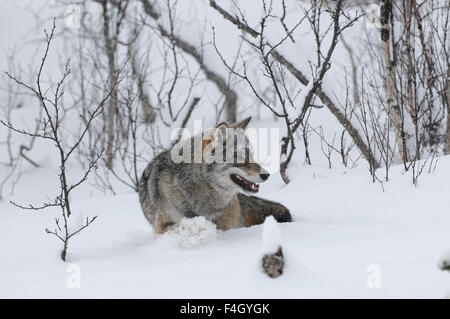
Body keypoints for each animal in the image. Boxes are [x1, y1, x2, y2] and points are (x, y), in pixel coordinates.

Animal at [138, 117, 292, 235]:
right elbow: (182, 228)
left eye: (252, 155)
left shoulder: (227, 225)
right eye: (240, 157)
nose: (266, 175)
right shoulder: (164, 225)